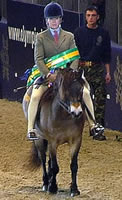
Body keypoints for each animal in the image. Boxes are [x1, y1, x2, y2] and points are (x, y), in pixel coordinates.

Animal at [22, 67, 86, 197]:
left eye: (82, 89)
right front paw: (52, 187)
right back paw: (46, 183)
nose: (77, 112)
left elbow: (73, 166)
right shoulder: (53, 142)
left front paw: (74, 189)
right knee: (43, 159)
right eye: (65, 89)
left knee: (49, 162)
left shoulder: (76, 141)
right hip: (40, 139)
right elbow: (55, 167)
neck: (65, 115)